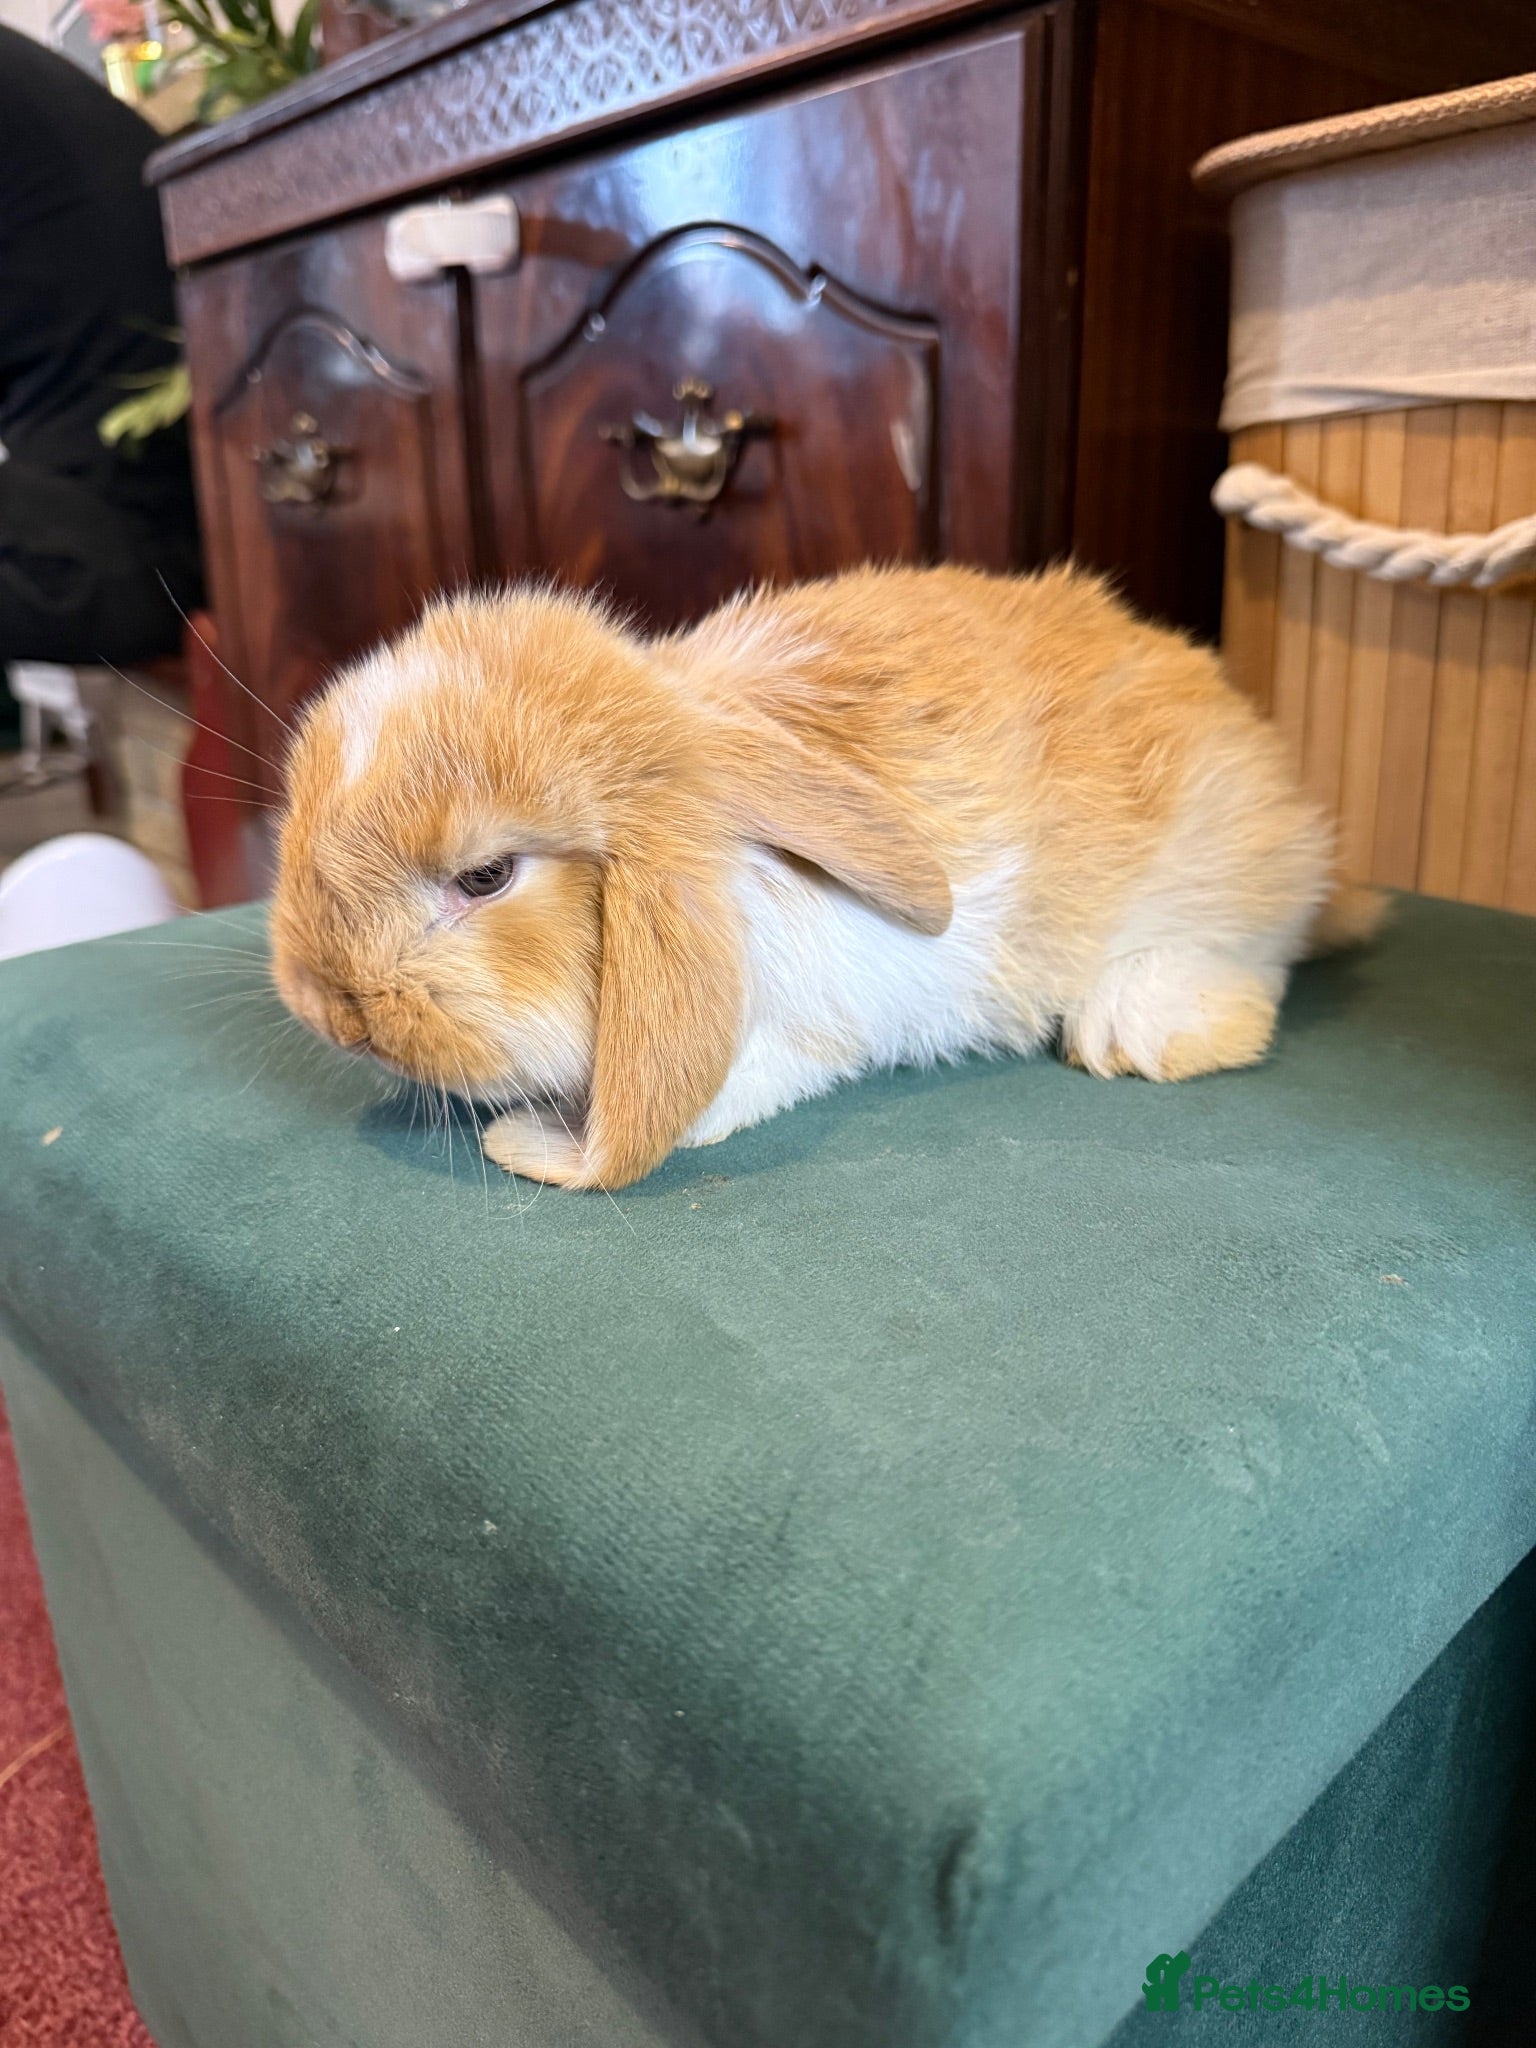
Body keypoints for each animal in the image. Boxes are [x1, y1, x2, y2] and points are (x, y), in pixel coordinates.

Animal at [269, 563, 1379, 1190]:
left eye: (487, 875)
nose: (329, 1009)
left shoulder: (797, 1030)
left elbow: (722, 1094)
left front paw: (527, 1140)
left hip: (1212, 867)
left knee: (1249, 963)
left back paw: (1135, 1028)